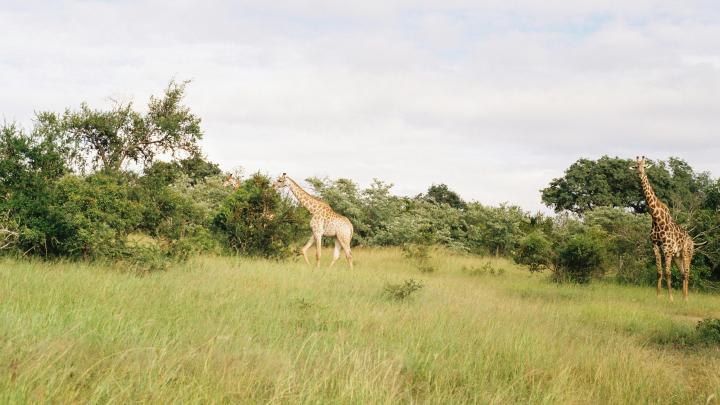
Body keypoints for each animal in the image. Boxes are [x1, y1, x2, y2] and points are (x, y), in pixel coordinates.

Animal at [632, 156, 696, 302]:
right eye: (636, 166)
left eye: (644, 166)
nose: (639, 173)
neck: (656, 218)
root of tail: (692, 241)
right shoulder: (655, 245)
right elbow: (659, 271)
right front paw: (658, 295)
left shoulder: (667, 248)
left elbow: (668, 272)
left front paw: (670, 298)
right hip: (677, 256)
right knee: (683, 273)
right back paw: (683, 297)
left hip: (687, 253)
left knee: (687, 273)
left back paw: (686, 298)